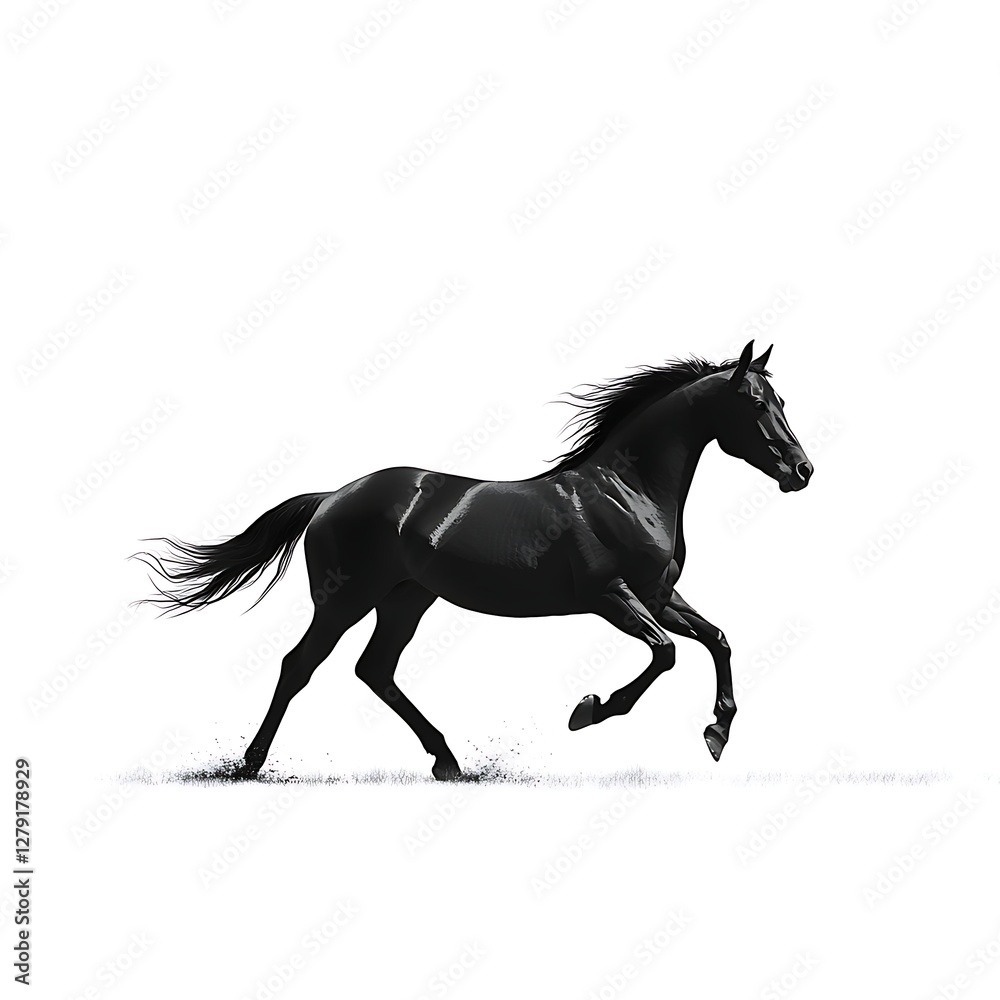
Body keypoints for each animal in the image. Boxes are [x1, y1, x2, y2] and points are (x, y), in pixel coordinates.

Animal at [134, 340, 813, 780]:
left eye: (780, 399)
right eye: (756, 402)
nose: (802, 471)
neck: (626, 491)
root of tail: (331, 497)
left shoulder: (658, 595)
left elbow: (717, 639)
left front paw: (717, 735)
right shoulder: (611, 597)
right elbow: (666, 654)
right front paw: (588, 712)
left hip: (407, 598)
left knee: (374, 669)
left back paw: (447, 760)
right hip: (346, 599)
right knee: (300, 665)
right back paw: (250, 764)